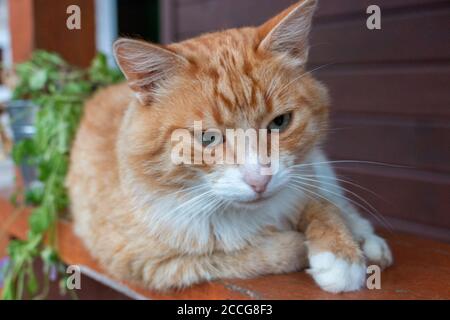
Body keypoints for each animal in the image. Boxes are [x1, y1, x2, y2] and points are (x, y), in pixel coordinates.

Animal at [66, 0, 390, 294]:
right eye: (207, 138)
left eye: (280, 122)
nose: (260, 180)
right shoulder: (153, 264)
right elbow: (239, 255)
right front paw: (301, 245)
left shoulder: (303, 176)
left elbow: (322, 205)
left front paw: (341, 251)